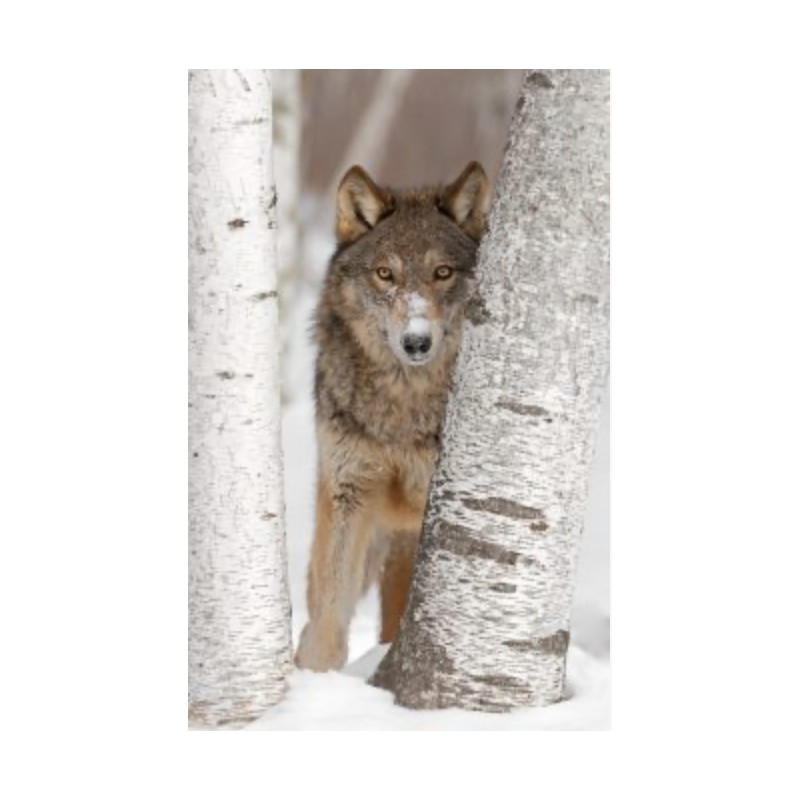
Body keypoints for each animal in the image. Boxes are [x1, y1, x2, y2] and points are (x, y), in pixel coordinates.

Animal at [294, 161, 490, 671]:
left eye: (442, 272)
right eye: (385, 274)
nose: (416, 342)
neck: (402, 407)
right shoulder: (348, 491)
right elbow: (328, 605)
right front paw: (318, 674)